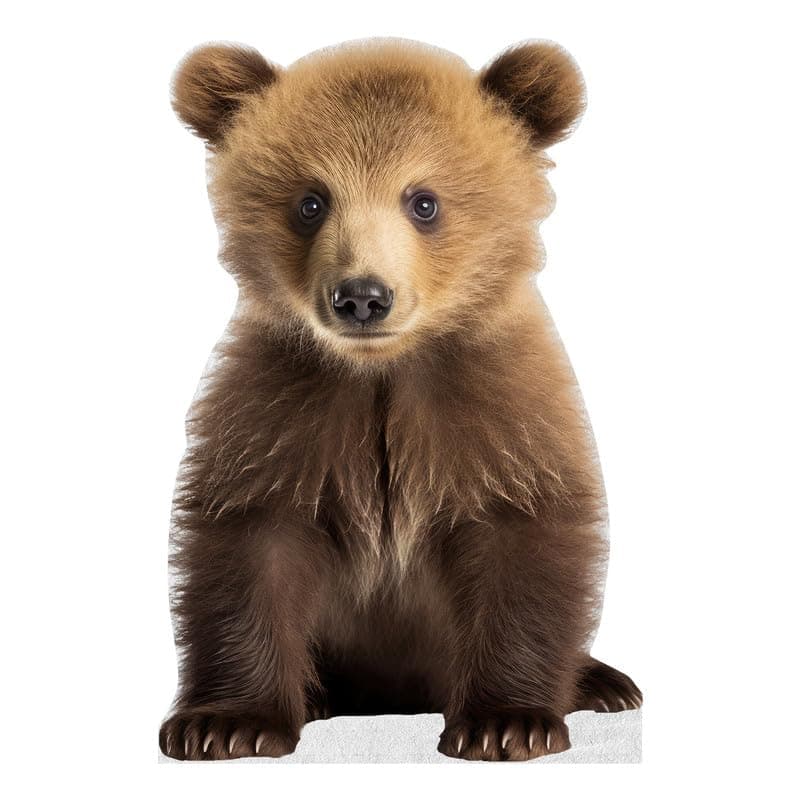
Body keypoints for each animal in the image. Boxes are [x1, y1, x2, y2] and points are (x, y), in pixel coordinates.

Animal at [159, 37, 642, 762]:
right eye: (311, 201)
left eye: (424, 201)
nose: (362, 295)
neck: (382, 372)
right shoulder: (281, 416)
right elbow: (248, 543)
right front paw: (224, 723)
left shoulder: (497, 420)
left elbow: (524, 538)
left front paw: (508, 722)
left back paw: (605, 683)